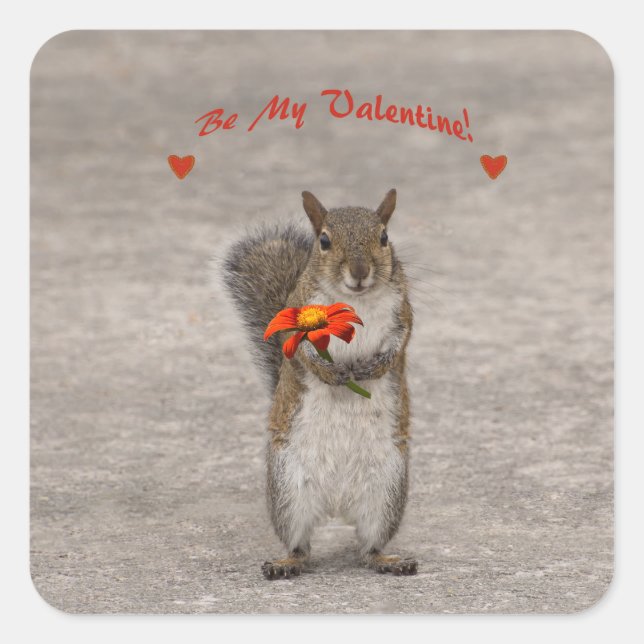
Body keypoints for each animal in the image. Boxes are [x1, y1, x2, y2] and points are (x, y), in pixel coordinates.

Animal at [222, 189, 417, 578]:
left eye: (384, 237)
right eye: (324, 241)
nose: (359, 272)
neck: (356, 300)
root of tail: (337, 503)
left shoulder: (402, 311)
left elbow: (400, 341)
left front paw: (376, 366)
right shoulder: (296, 313)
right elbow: (300, 351)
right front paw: (330, 373)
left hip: (386, 491)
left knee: (369, 547)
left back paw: (389, 561)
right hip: (288, 491)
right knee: (301, 545)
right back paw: (285, 564)